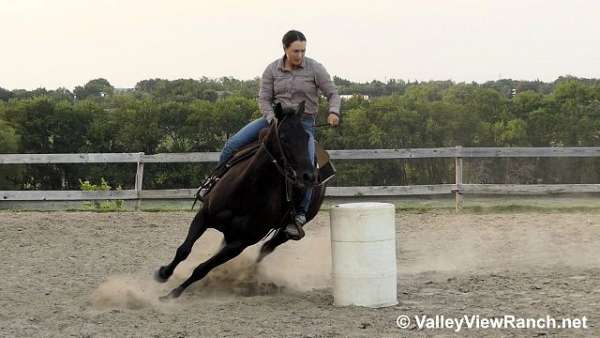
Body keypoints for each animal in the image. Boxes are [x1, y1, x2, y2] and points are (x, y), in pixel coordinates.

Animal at [152, 102, 326, 298]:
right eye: (284, 137)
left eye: (306, 137)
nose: (309, 176)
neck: (247, 191)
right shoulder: (204, 216)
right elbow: (184, 250)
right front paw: (163, 274)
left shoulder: (240, 243)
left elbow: (202, 269)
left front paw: (172, 294)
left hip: (284, 233)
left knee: (266, 248)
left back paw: (249, 276)